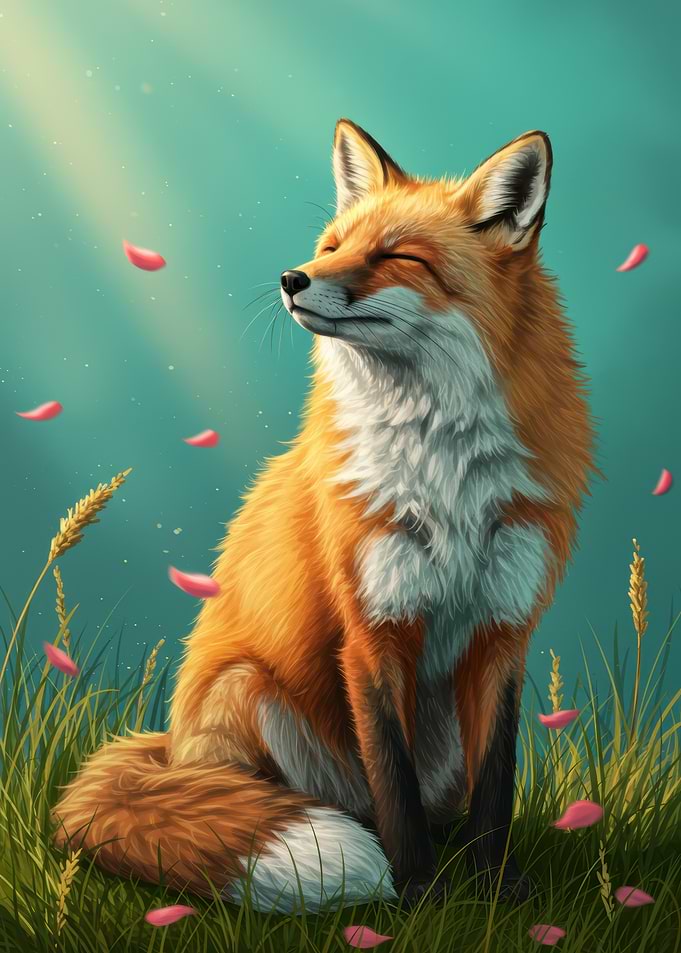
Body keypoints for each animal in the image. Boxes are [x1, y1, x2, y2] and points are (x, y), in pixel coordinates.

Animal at [52, 119, 594, 913]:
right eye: (332, 245)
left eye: (398, 256)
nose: (291, 278)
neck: (443, 473)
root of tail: (170, 748)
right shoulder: (372, 632)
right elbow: (393, 785)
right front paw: (419, 896)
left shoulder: (502, 631)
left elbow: (496, 789)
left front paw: (497, 891)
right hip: (248, 691)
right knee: (322, 802)